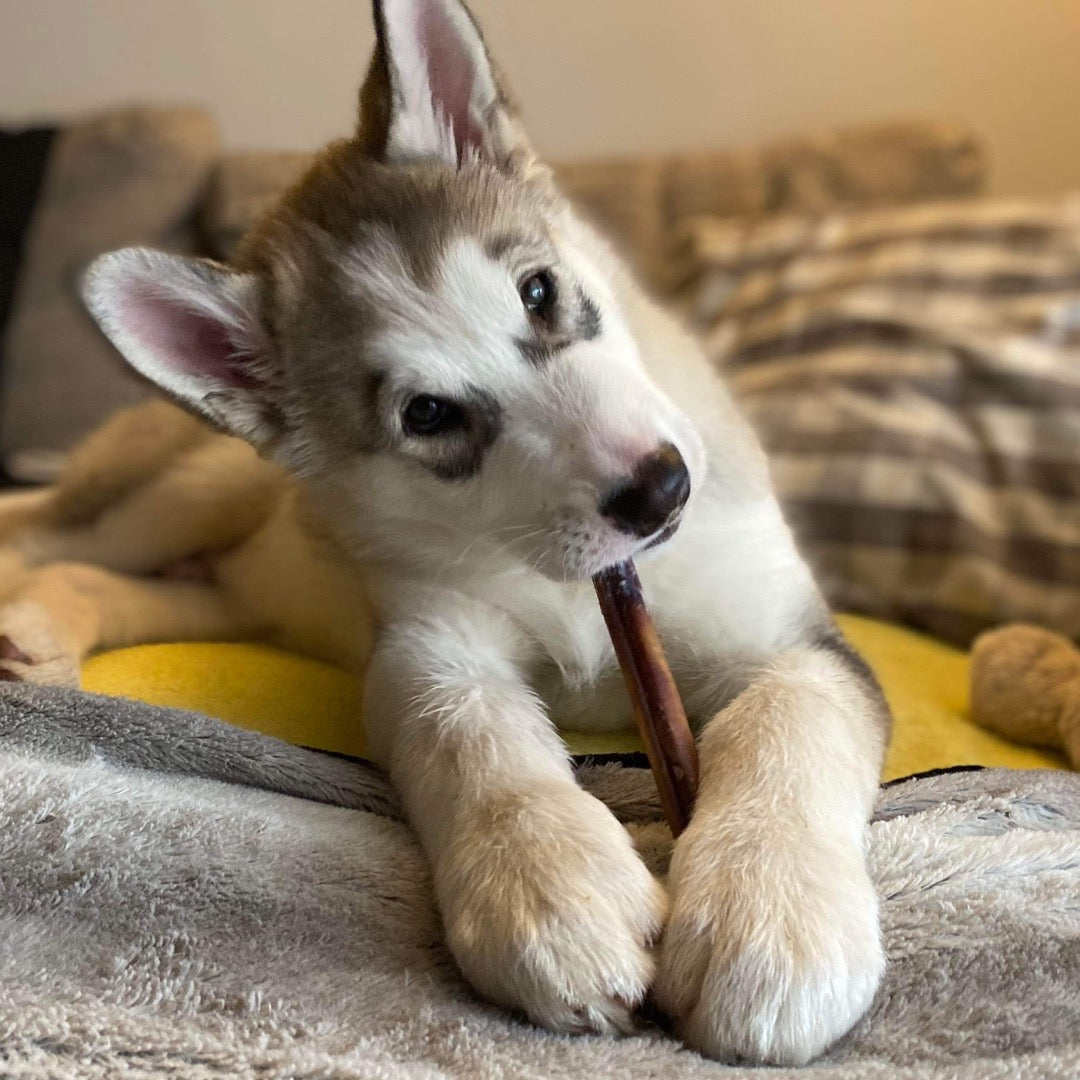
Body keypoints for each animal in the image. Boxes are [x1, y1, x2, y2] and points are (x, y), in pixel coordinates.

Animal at [4, 0, 889, 1062]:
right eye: (428, 416)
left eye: (539, 292)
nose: (660, 492)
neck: (563, 574)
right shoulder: (428, 643)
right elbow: (469, 733)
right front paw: (551, 891)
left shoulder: (792, 639)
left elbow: (790, 721)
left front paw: (774, 912)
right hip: (178, 494)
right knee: (44, 537)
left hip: (231, 577)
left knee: (132, 584)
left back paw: (43, 635)